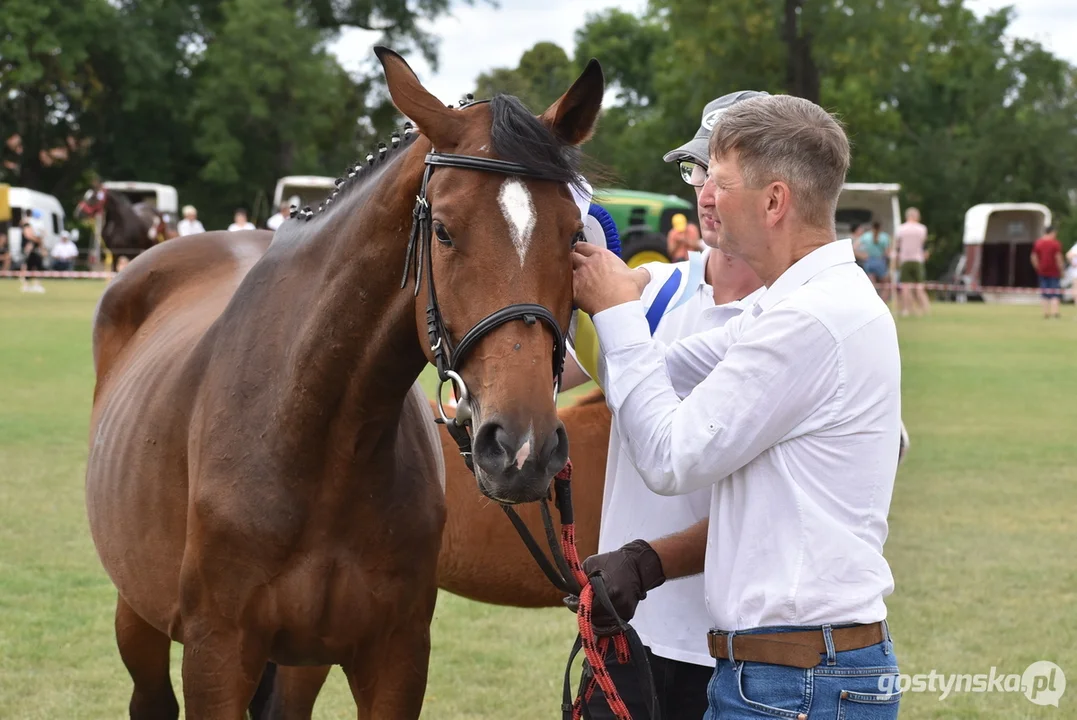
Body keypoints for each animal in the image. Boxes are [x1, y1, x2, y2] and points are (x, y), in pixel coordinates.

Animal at [84, 44, 607, 718]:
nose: (522, 449)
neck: (317, 441)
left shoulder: (394, 656)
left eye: (573, 235)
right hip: (138, 615)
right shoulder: (215, 655)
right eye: (444, 230)